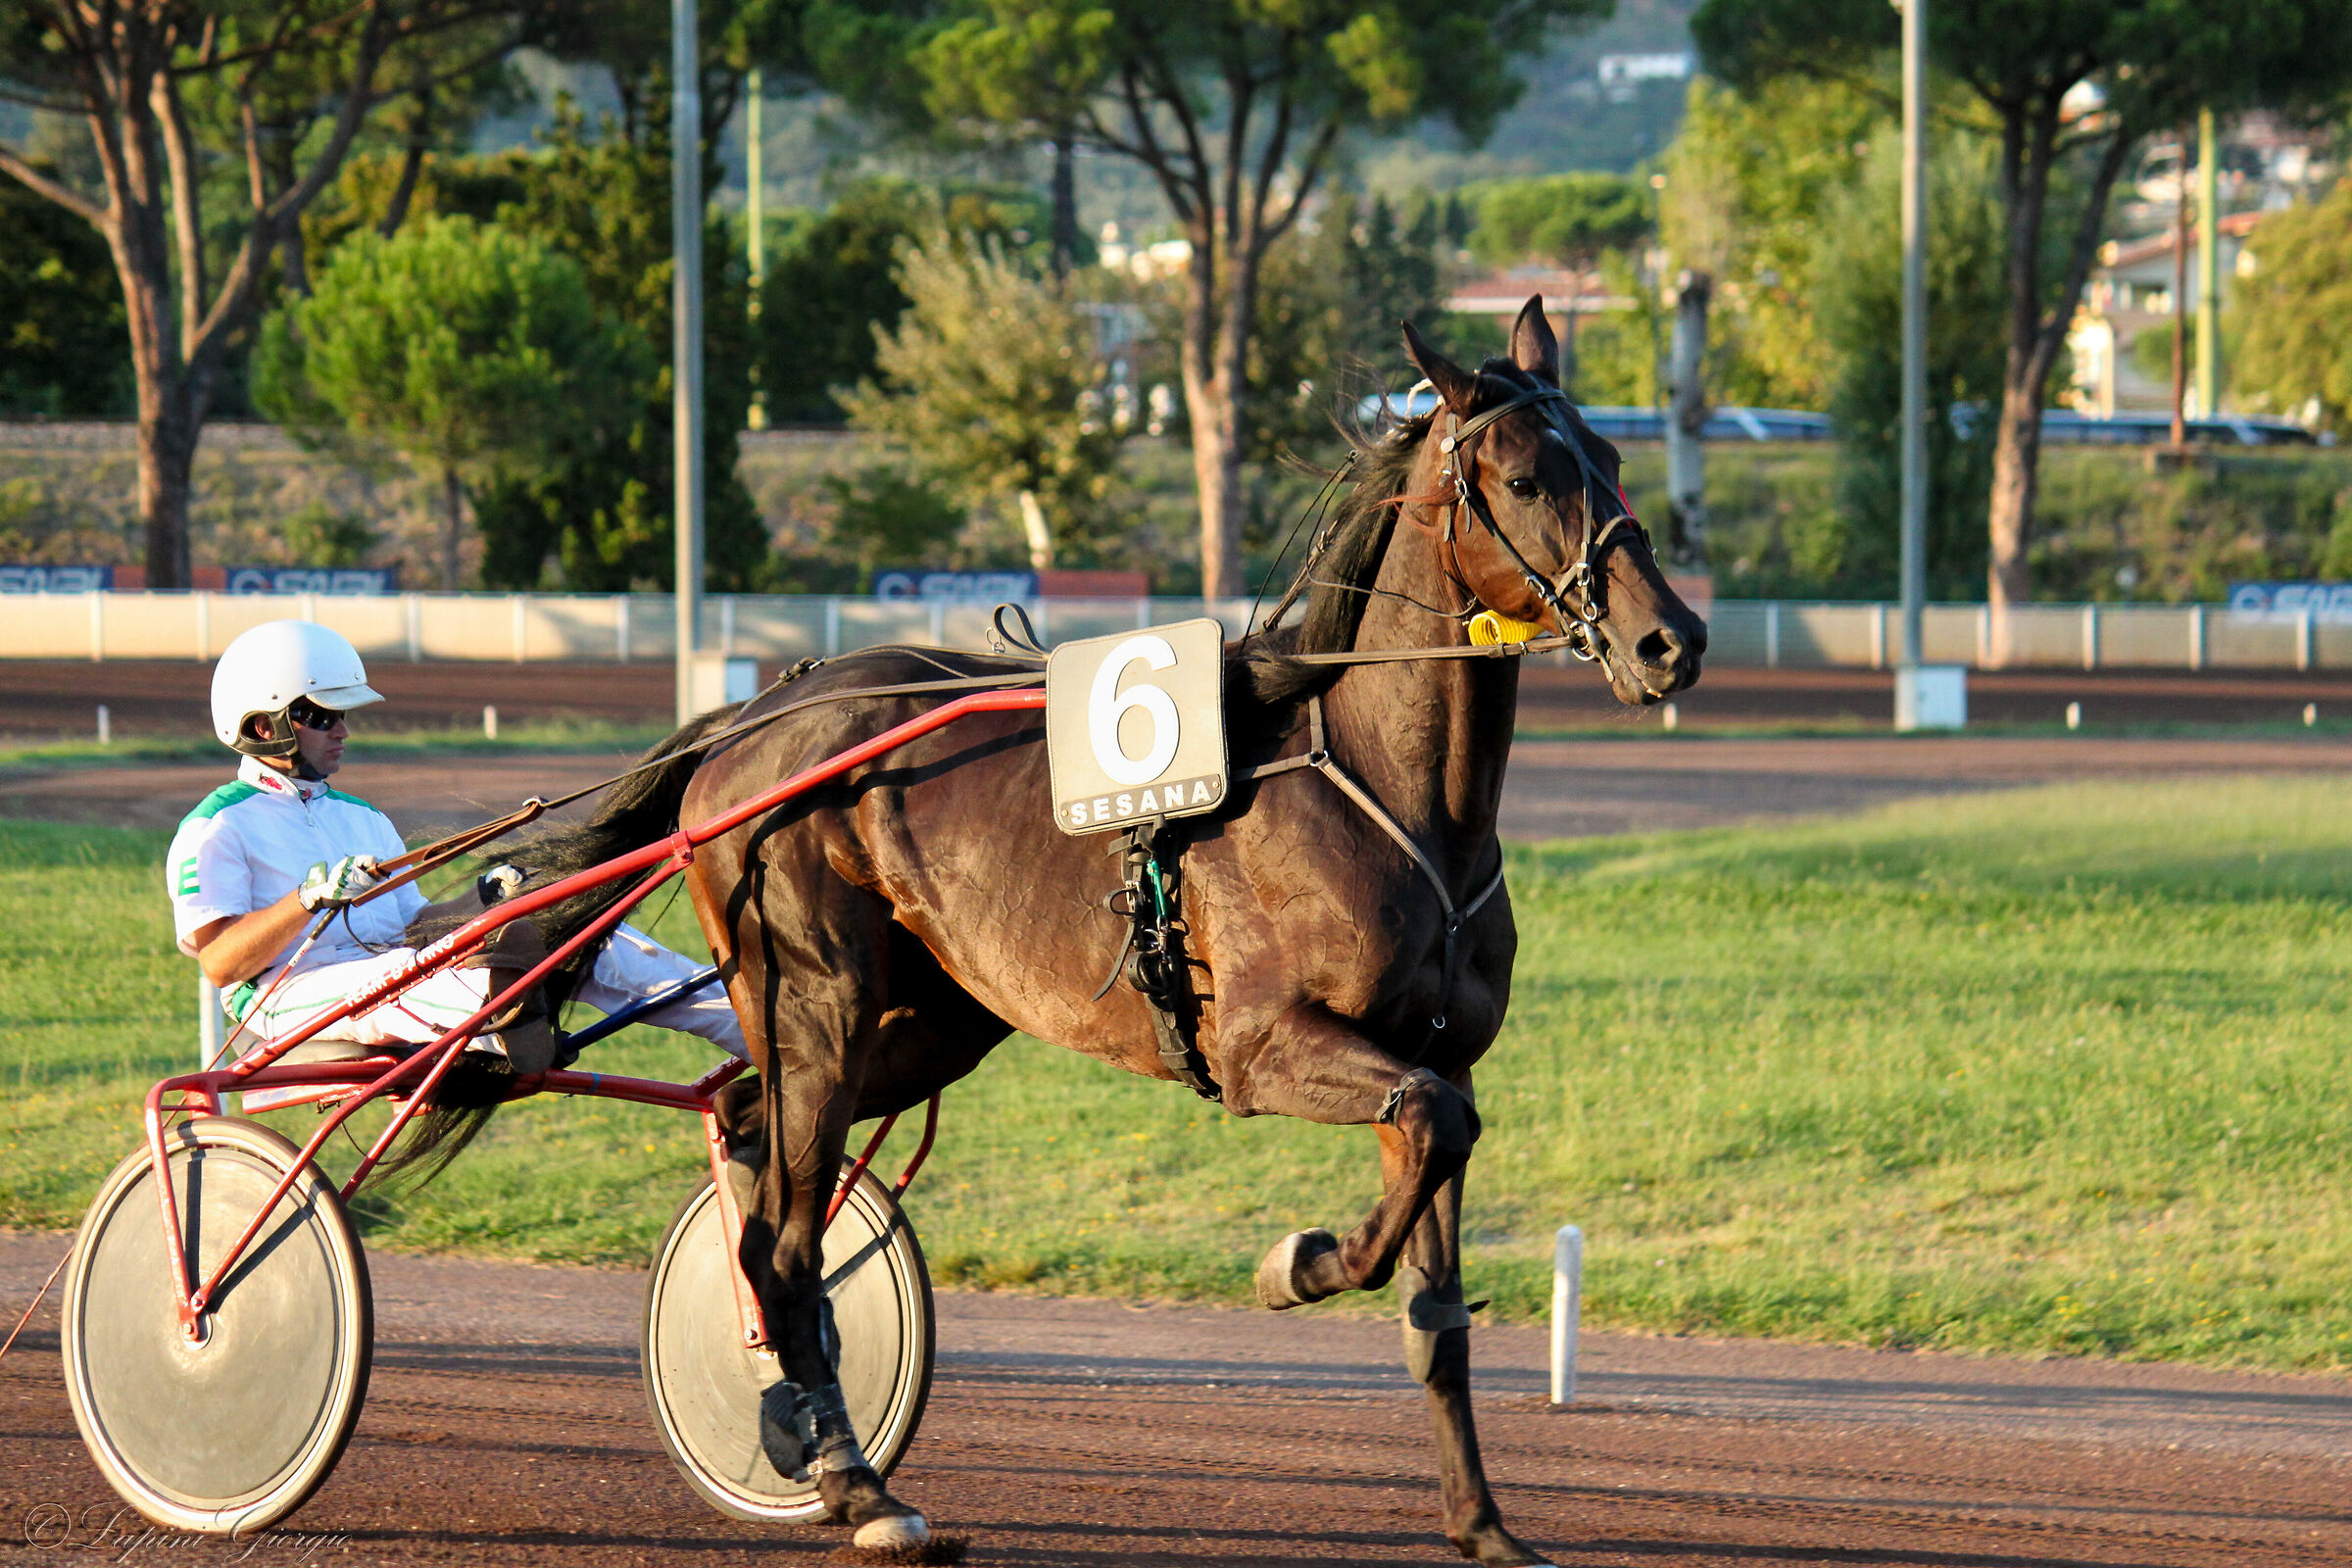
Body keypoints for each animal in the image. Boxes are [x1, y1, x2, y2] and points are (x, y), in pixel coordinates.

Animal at [512, 298, 1705, 1563]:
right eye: (1524, 477)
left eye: (1613, 458)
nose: (1671, 639)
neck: (1389, 789)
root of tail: (750, 717)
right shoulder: (1266, 1047)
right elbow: (1430, 1128)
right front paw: (1298, 1261)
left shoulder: (1435, 1049)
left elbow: (1437, 1276)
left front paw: (1482, 1523)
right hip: (815, 992)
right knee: (782, 1242)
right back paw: (860, 1482)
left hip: (926, 1018)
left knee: (747, 1123)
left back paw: (796, 1412)